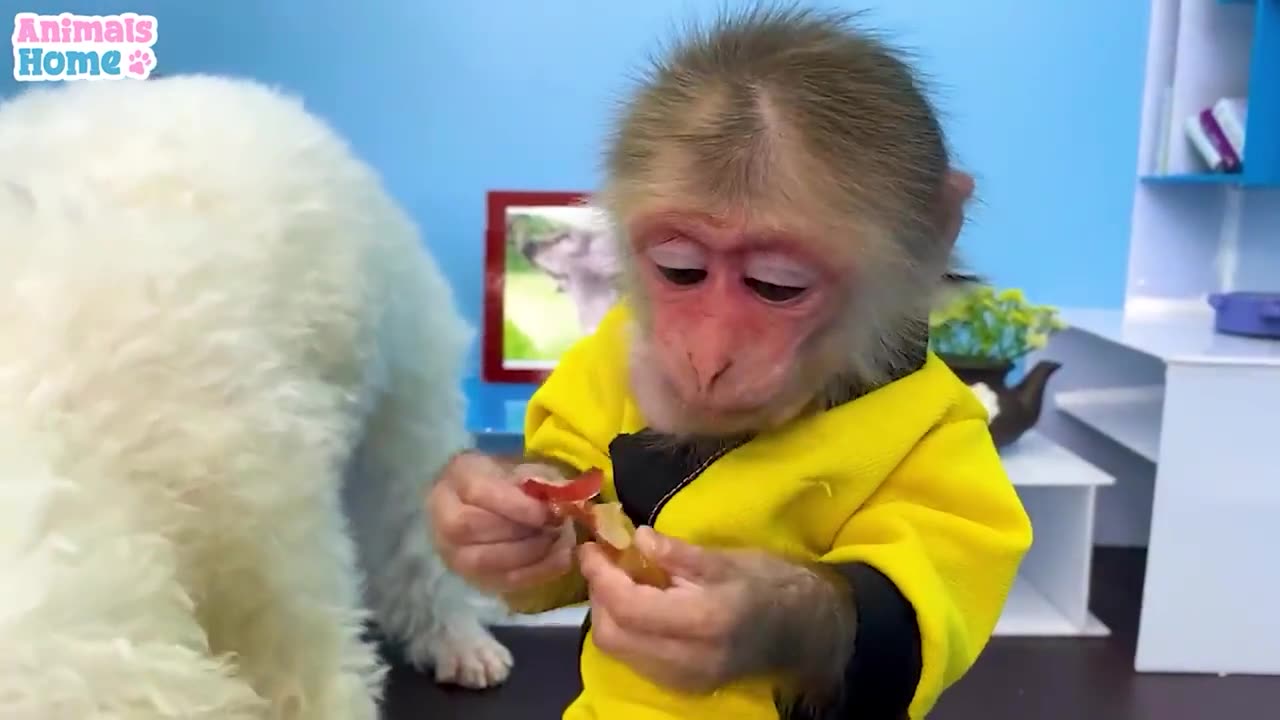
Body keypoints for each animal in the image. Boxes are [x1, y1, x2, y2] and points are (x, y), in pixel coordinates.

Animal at [430, 5, 1029, 717]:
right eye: (680, 272)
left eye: (776, 287)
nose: (707, 356)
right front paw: (484, 508)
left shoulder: (952, 435)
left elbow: (905, 614)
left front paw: (748, 617)